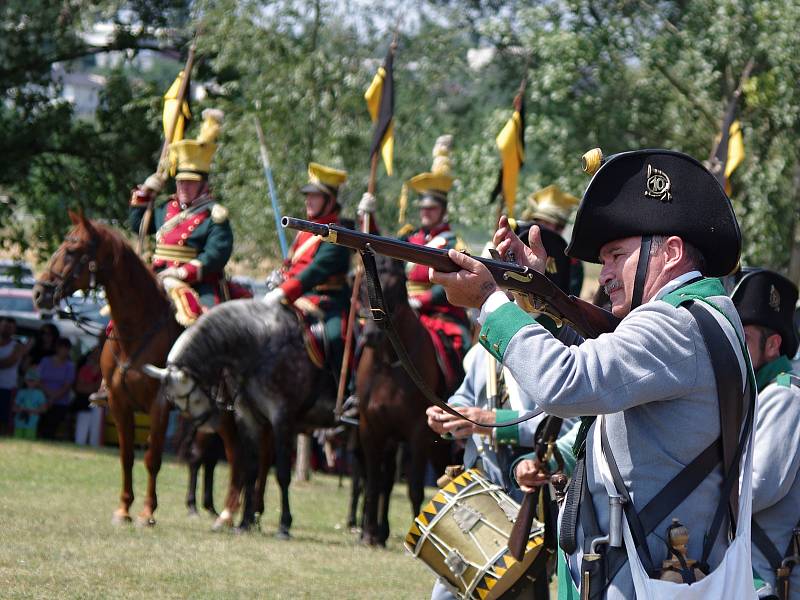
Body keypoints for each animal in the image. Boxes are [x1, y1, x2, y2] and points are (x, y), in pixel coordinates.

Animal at [32, 210, 250, 524]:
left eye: (72, 250)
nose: (39, 293)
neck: (139, 329)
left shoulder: (160, 404)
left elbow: (152, 458)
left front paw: (148, 511)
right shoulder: (118, 402)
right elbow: (126, 456)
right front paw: (124, 509)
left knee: (238, 455)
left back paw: (230, 513)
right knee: (230, 454)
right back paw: (227, 512)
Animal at [144, 298, 338, 536]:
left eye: (192, 398)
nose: (209, 425)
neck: (261, 343)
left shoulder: (282, 418)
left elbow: (282, 473)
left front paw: (284, 524)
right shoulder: (248, 418)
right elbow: (251, 469)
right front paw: (244, 523)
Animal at [354, 255, 450, 548]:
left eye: (398, 286)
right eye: (362, 287)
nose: (371, 336)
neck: (388, 362)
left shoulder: (418, 434)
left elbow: (415, 487)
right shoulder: (370, 430)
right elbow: (374, 483)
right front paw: (368, 533)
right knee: (384, 482)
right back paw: (378, 532)